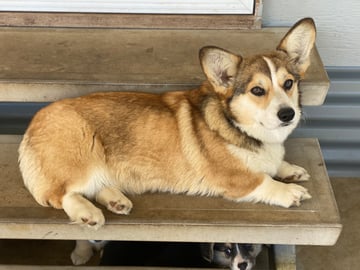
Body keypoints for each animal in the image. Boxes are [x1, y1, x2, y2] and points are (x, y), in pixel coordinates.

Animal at [18, 16, 316, 229]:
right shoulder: (235, 179)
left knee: (94, 187)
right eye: (257, 90)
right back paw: (87, 214)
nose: (288, 114)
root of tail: (32, 125)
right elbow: (264, 180)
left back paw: (116, 201)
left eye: (288, 83)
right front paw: (291, 191)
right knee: (63, 195)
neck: (242, 127)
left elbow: (276, 164)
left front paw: (290, 169)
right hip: (83, 158)